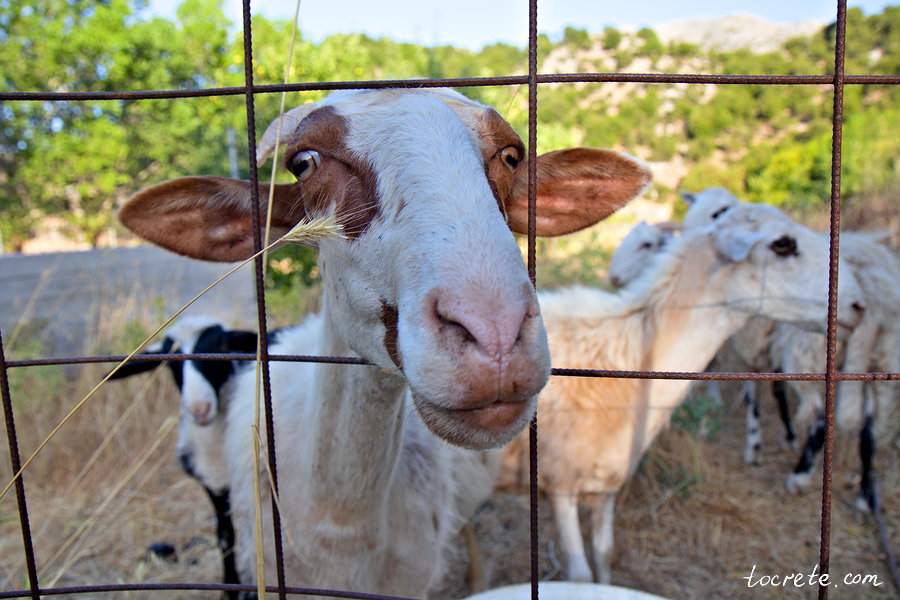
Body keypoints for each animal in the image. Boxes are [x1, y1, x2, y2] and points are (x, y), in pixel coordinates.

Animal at [109, 315, 265, 598]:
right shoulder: (213, 484)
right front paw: (230, 587)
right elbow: (225, 536)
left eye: (223, 346)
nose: (199, 408)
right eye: (168, 359)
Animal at [497, 203, 867, 583]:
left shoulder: (606, 482)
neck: (628, 356)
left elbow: (604, 554)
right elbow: (581, 577)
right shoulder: (560, 483)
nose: (858, 306)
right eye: (782, 244)